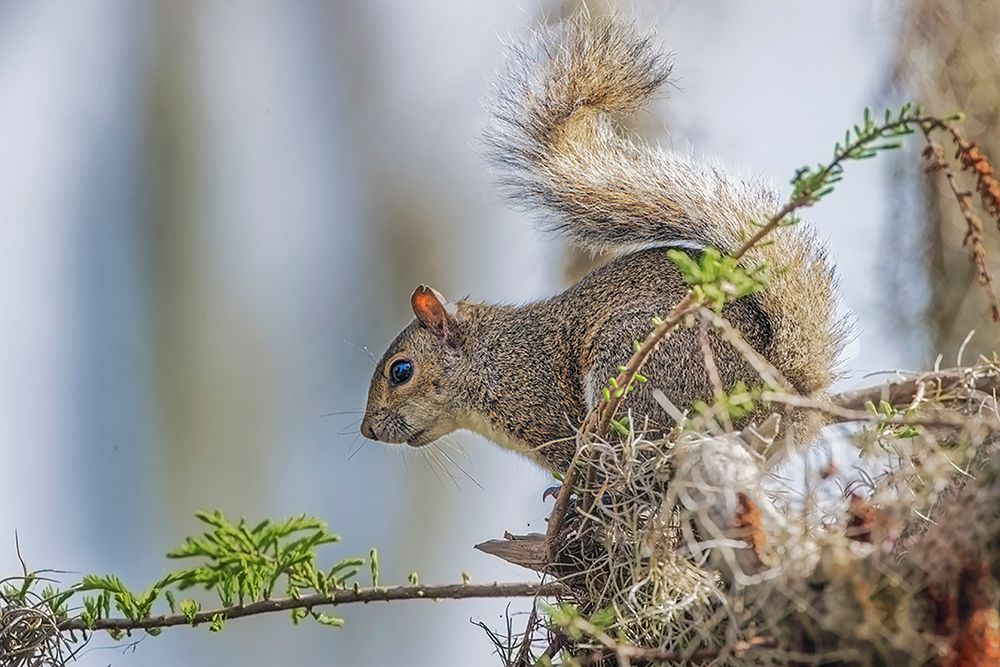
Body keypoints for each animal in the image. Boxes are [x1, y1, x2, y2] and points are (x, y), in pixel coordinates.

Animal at [359, 14, 844, 473]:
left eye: (401, 371)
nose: (367, 430)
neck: (489, 357)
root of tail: (781, 388)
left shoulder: (540, 403)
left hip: (639, 357)